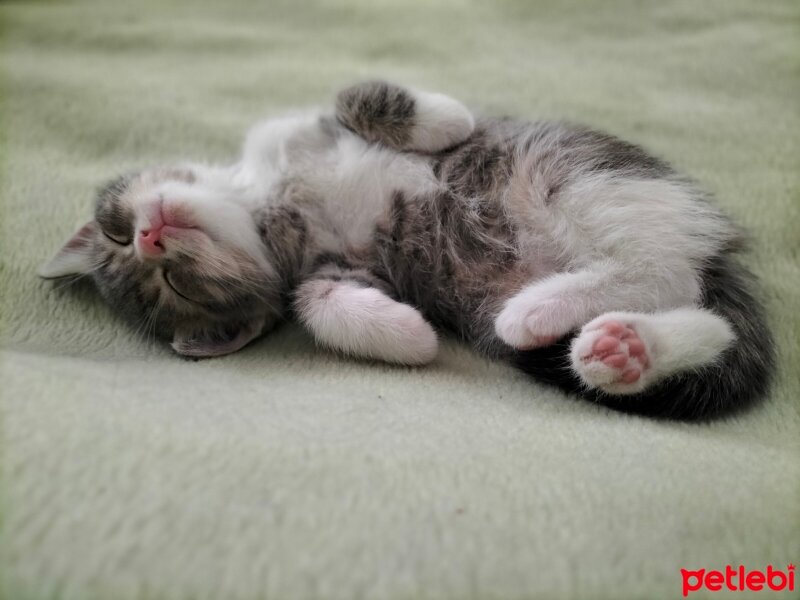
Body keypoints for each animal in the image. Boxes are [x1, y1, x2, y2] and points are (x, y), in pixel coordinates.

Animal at [39, 79, 776, 420]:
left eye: (114, 227)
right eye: (173, 284)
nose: (149, 235)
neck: (266, 203)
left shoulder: (300, 125)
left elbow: (359, 97)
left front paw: (448, 119)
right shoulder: (333, 268)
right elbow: (319, 302)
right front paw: (410, 336)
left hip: (578, 179)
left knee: (667, 274)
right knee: (689, 307)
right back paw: (610, 345)